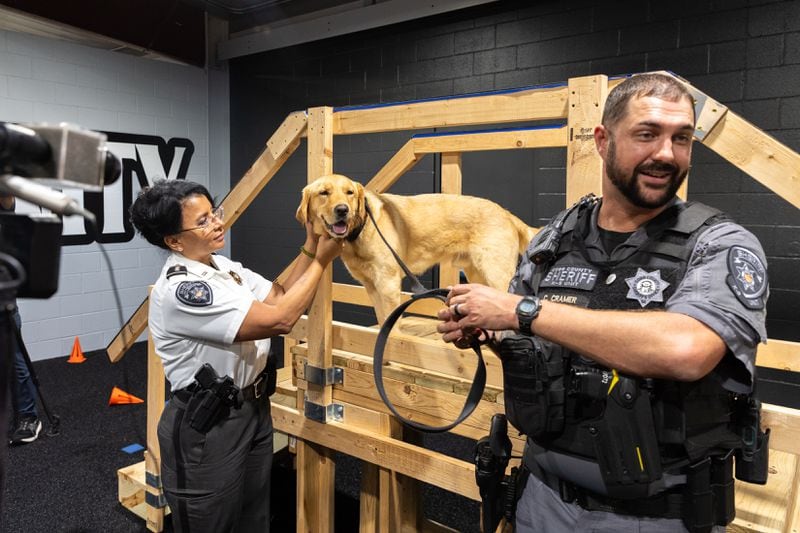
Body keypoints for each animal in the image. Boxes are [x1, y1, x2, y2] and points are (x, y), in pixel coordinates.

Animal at [298, 175, 536, 324]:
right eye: (324, 193)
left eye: (349, 193)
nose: (342, 210)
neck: (362, 227)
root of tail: (506, 213)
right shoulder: (371, 286)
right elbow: (381, 318)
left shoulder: (388, 284)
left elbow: (391, 323)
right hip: (477, 274)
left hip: (496, 273)